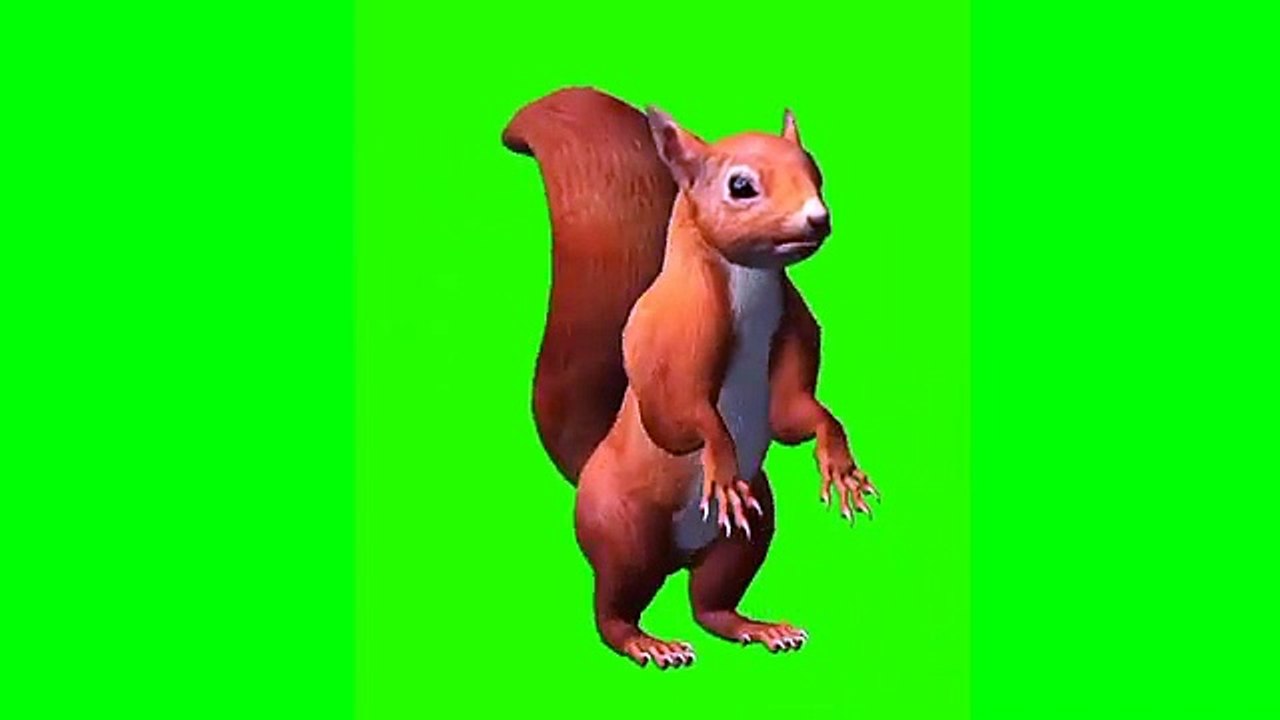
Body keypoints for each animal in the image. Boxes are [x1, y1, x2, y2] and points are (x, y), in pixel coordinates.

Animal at [503, 87, 877, 670]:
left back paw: (761, 629)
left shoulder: (792, 333)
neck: (751, 284)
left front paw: (839, 464)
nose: (818, 218)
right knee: (612, 611)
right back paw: (647, 643)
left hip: (749, 534)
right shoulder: (670, 335)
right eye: (740, 186)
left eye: (815, 170)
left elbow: (797, 411)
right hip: (626, 534)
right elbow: (681, 413)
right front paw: (719, 464)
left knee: (711, 606)